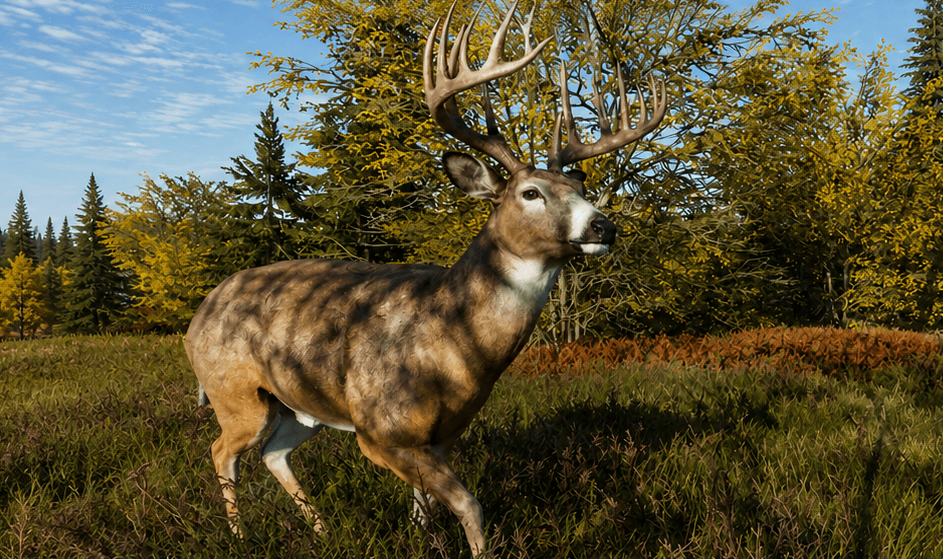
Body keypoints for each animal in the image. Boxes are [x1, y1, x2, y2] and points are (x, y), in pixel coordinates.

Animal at [185, 2, 666, 556]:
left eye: (581, 188)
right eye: (530, 193)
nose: (604, 226)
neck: (453, 344)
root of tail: (199, 314)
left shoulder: (442, 433)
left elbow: (425, 503)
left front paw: (422, 539)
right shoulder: (380, 429)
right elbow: (469, 504)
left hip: (299, 405)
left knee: (273, 453)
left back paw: (323, 530)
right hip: (234, 391)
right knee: (223, 450)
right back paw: (240, 535)